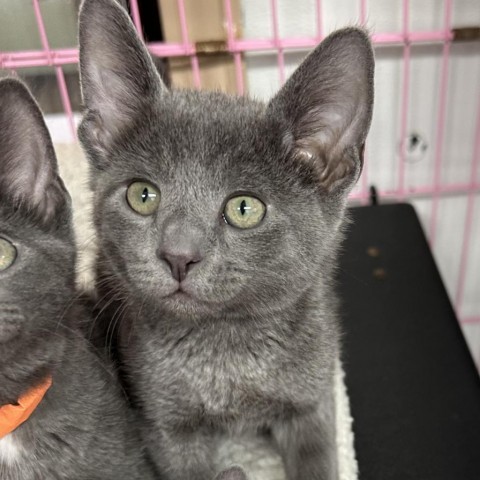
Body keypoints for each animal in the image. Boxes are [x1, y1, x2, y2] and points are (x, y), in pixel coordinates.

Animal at [77, 0, 374, 480]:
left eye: (244, 208)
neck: (227, 353)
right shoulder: (166, 426)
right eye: (142, 195)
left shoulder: (312, 403)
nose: (178, 256)